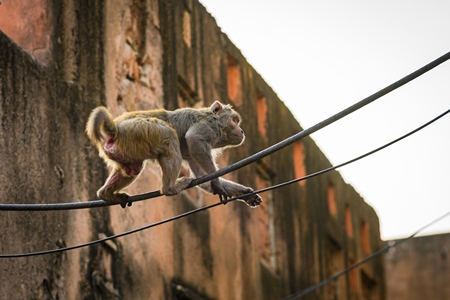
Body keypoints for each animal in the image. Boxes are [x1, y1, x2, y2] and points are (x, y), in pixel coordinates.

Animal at [86, 101, 262, 209]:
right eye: (234, 120)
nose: (242, 131)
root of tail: (115, 129)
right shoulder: (207, 126)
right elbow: (193, 139)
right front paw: (217, 183)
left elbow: (201, 178)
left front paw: (245, 193)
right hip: (138, 130)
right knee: (168, 135)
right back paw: (169, 188)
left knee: (134, 168)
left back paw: (106, 193)